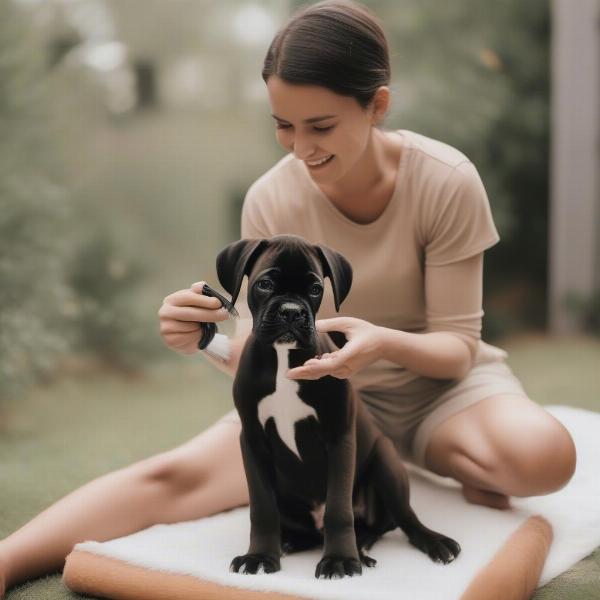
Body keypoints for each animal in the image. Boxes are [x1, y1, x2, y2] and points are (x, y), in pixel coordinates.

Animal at [218, 236, 462, 580]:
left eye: (315, 289)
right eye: (265, 284)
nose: (291, 312)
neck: (283, 359)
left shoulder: (339, 437)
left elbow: (338, 507)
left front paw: (339, 559)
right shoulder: (253, 440)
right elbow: (262, 508)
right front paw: (260, 556)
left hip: (386, 462)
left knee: (401, 519)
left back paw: (421, 543)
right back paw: (292, 541)